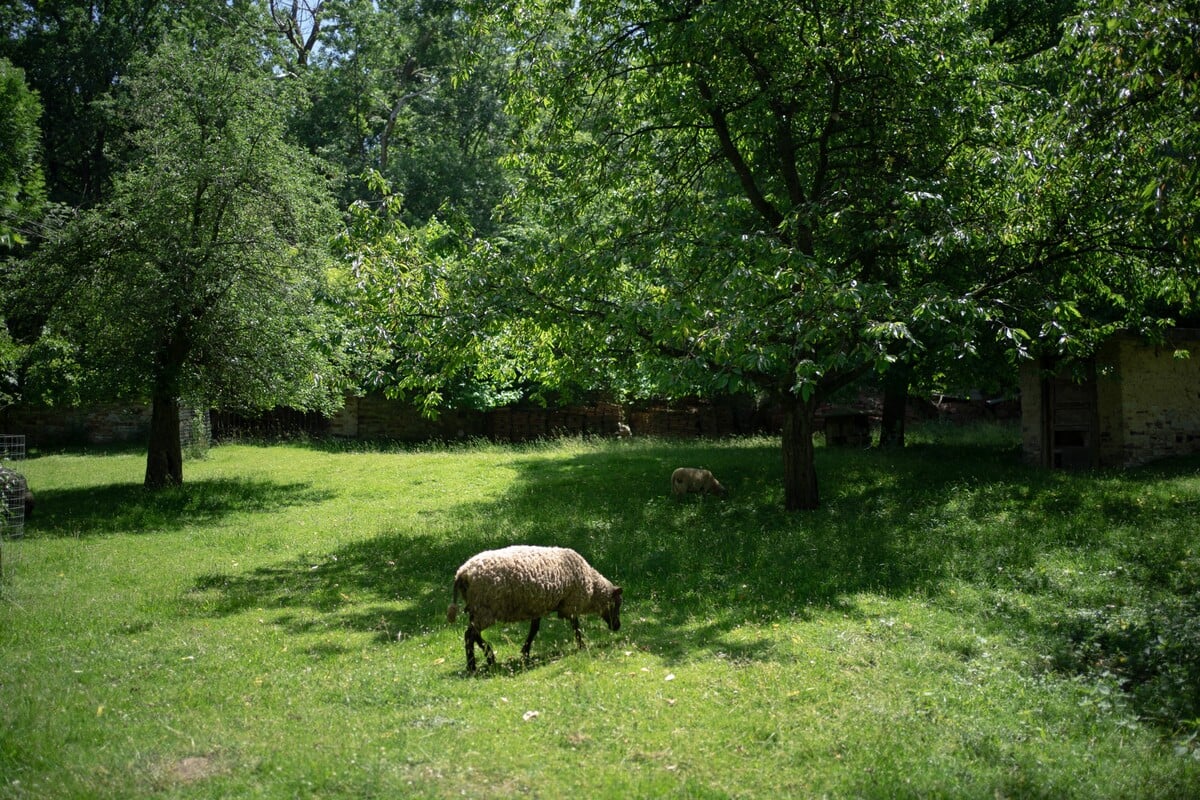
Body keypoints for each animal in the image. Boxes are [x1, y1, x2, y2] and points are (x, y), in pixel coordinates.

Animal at [446, 546, 624, 671]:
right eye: (617, 604)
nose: (617, 626)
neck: (593, 588)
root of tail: (462, 573)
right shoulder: (570, 604)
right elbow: (576, 627)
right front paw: (581, 646)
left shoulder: (538, 605)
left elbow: (534, 629)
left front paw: (525, 652)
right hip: (485, 608)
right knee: (470, 634)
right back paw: (473, 665)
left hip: (477, 608)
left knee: (473, 633)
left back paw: (489, 657)